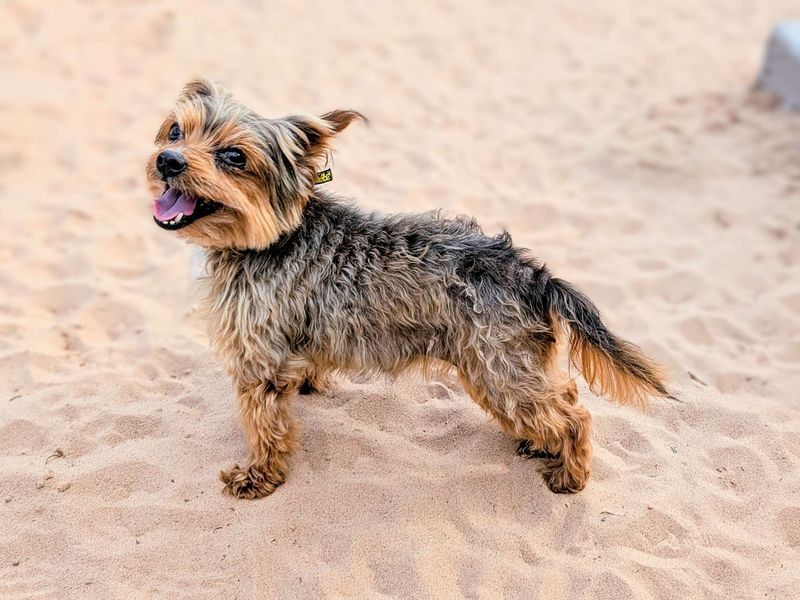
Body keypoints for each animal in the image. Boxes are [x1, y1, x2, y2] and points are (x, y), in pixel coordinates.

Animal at [147, 79, 664, 500]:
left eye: (234, 156)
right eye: (175, 131)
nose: (167, 160)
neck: (276, 236)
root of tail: (530, 274)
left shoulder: (259, 363)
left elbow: (264, 427)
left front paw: (259, 477)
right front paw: (311, 388)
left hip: (498, 372)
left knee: (574, 417)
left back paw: (570, 475)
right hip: (506, 369)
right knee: (563, 397)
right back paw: (541, 446)